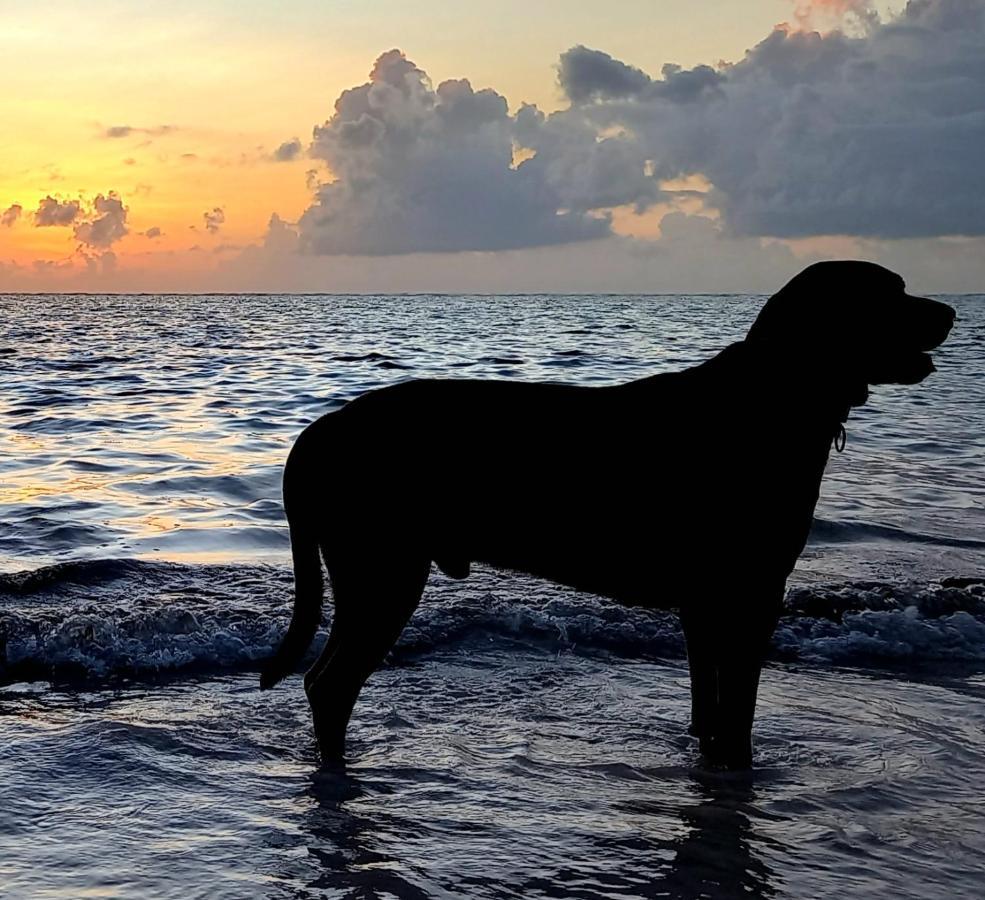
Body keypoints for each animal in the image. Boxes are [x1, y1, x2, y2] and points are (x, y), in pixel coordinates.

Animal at [260, 258, 952, 768]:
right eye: (891, 293)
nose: (950, 312)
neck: (777, 393)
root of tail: (323, 430)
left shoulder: (705, 603)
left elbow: (709, 703)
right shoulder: (751, 593)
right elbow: (738, 711)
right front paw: (738, 764)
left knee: (323, 679)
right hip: (384, 571)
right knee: (331, 685)